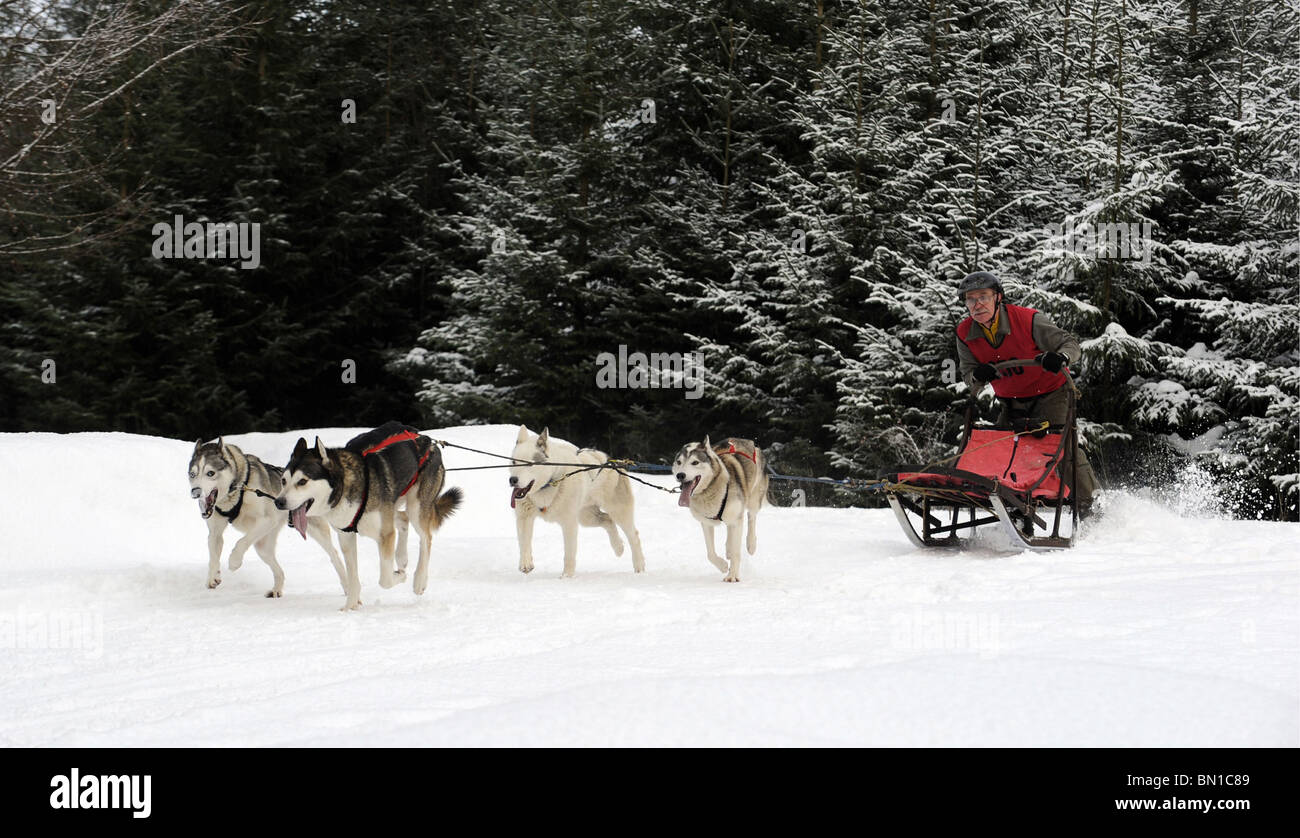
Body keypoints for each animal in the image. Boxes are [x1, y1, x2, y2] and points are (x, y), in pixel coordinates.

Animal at [189, 439, 345, 595]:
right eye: (192, 474)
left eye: (210, 473)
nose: (195, 492)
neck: (237, 491)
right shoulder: (215, 533)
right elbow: (213, 555)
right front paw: (213, 576)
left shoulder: (268, 520)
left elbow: (242, 542)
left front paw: (234, 561)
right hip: (262, 546)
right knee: (279, 570)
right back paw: (276, 590)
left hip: (315, 531)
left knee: (334, 554)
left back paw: (346, 585)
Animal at [271, 426, 465, 608]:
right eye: (283, 481)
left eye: (302, 481)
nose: (278, 502)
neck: (347, 486)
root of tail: (427, 440)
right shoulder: (346, 536)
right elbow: (353, 579)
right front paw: (349, 607)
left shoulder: (385, 535)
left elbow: (385, 580)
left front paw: (401, 577)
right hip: (392, 505)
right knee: (403, 519)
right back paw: (402, 557)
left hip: (416, 507)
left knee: (426, 538)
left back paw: (419, 581)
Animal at [509, 426, 647, 574]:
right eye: (514, 462)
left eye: (529, 464)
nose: (512, 480)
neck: (550, 483)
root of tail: (611, 461)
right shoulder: (524, 517)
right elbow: (524, 542)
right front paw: (525, 563)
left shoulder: (569, 523)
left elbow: (569, 554)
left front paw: (567, 576)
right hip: (586, 517)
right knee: (608, 520)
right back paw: (618, 547)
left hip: (618, 512)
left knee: (633, 535)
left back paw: (639, 565)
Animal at [676, 433, 764, 579]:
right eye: (679, 462)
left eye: (695, 462)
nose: (680, 475)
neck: (712, 488)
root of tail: (745, 440)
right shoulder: (706, 523)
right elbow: (710, 554)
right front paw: (723, 566)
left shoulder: (737, 519)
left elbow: (736, 552)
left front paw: (732, 576)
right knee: (730, 528)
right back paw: (728, 549)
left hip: (753, 499)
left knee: (752, 517)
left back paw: (751, 544)